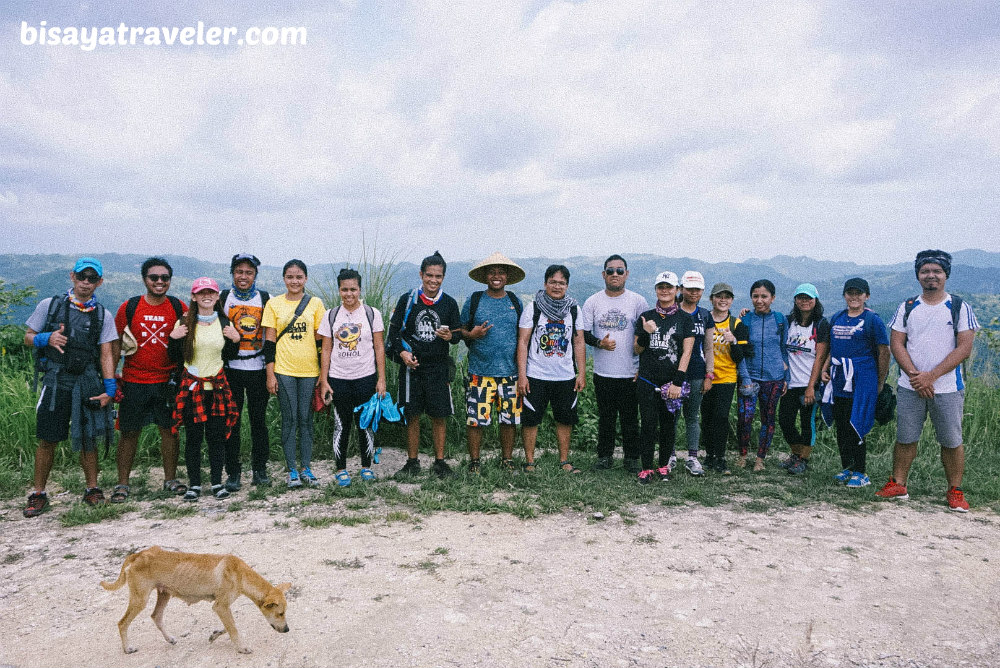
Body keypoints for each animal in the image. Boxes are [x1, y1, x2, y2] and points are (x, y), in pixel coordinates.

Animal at [100, 548, 290, 652]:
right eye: (280, 613)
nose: (287, 630)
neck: (241, 573)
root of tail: (138, 554)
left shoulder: (221, 607)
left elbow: (230, 627)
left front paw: (215, 635)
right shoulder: (220, 606)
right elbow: (233, 629)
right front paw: (242, 648)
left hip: (164, 594)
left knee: (156, 617)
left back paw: (169, 639)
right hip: (140, 599)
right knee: (122, 623)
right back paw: (127, 649)